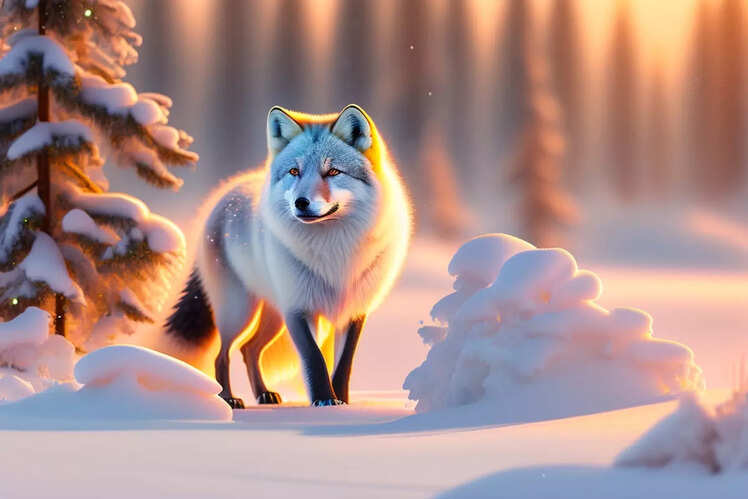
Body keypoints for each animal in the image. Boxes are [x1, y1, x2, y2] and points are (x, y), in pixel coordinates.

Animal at [164, 105, 411, 408]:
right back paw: (229, 398)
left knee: (248, 349)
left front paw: (340, 402)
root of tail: (227, 191)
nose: (300, 203)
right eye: (295, 171)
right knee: (222, 354)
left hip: (273, 317)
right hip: (239, 311)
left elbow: (343, 365)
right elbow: (314, 359)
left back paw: (264, 394)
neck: (335, 250)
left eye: (333, 171)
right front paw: (324, 401)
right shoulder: (298, 307)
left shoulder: (353, 310)